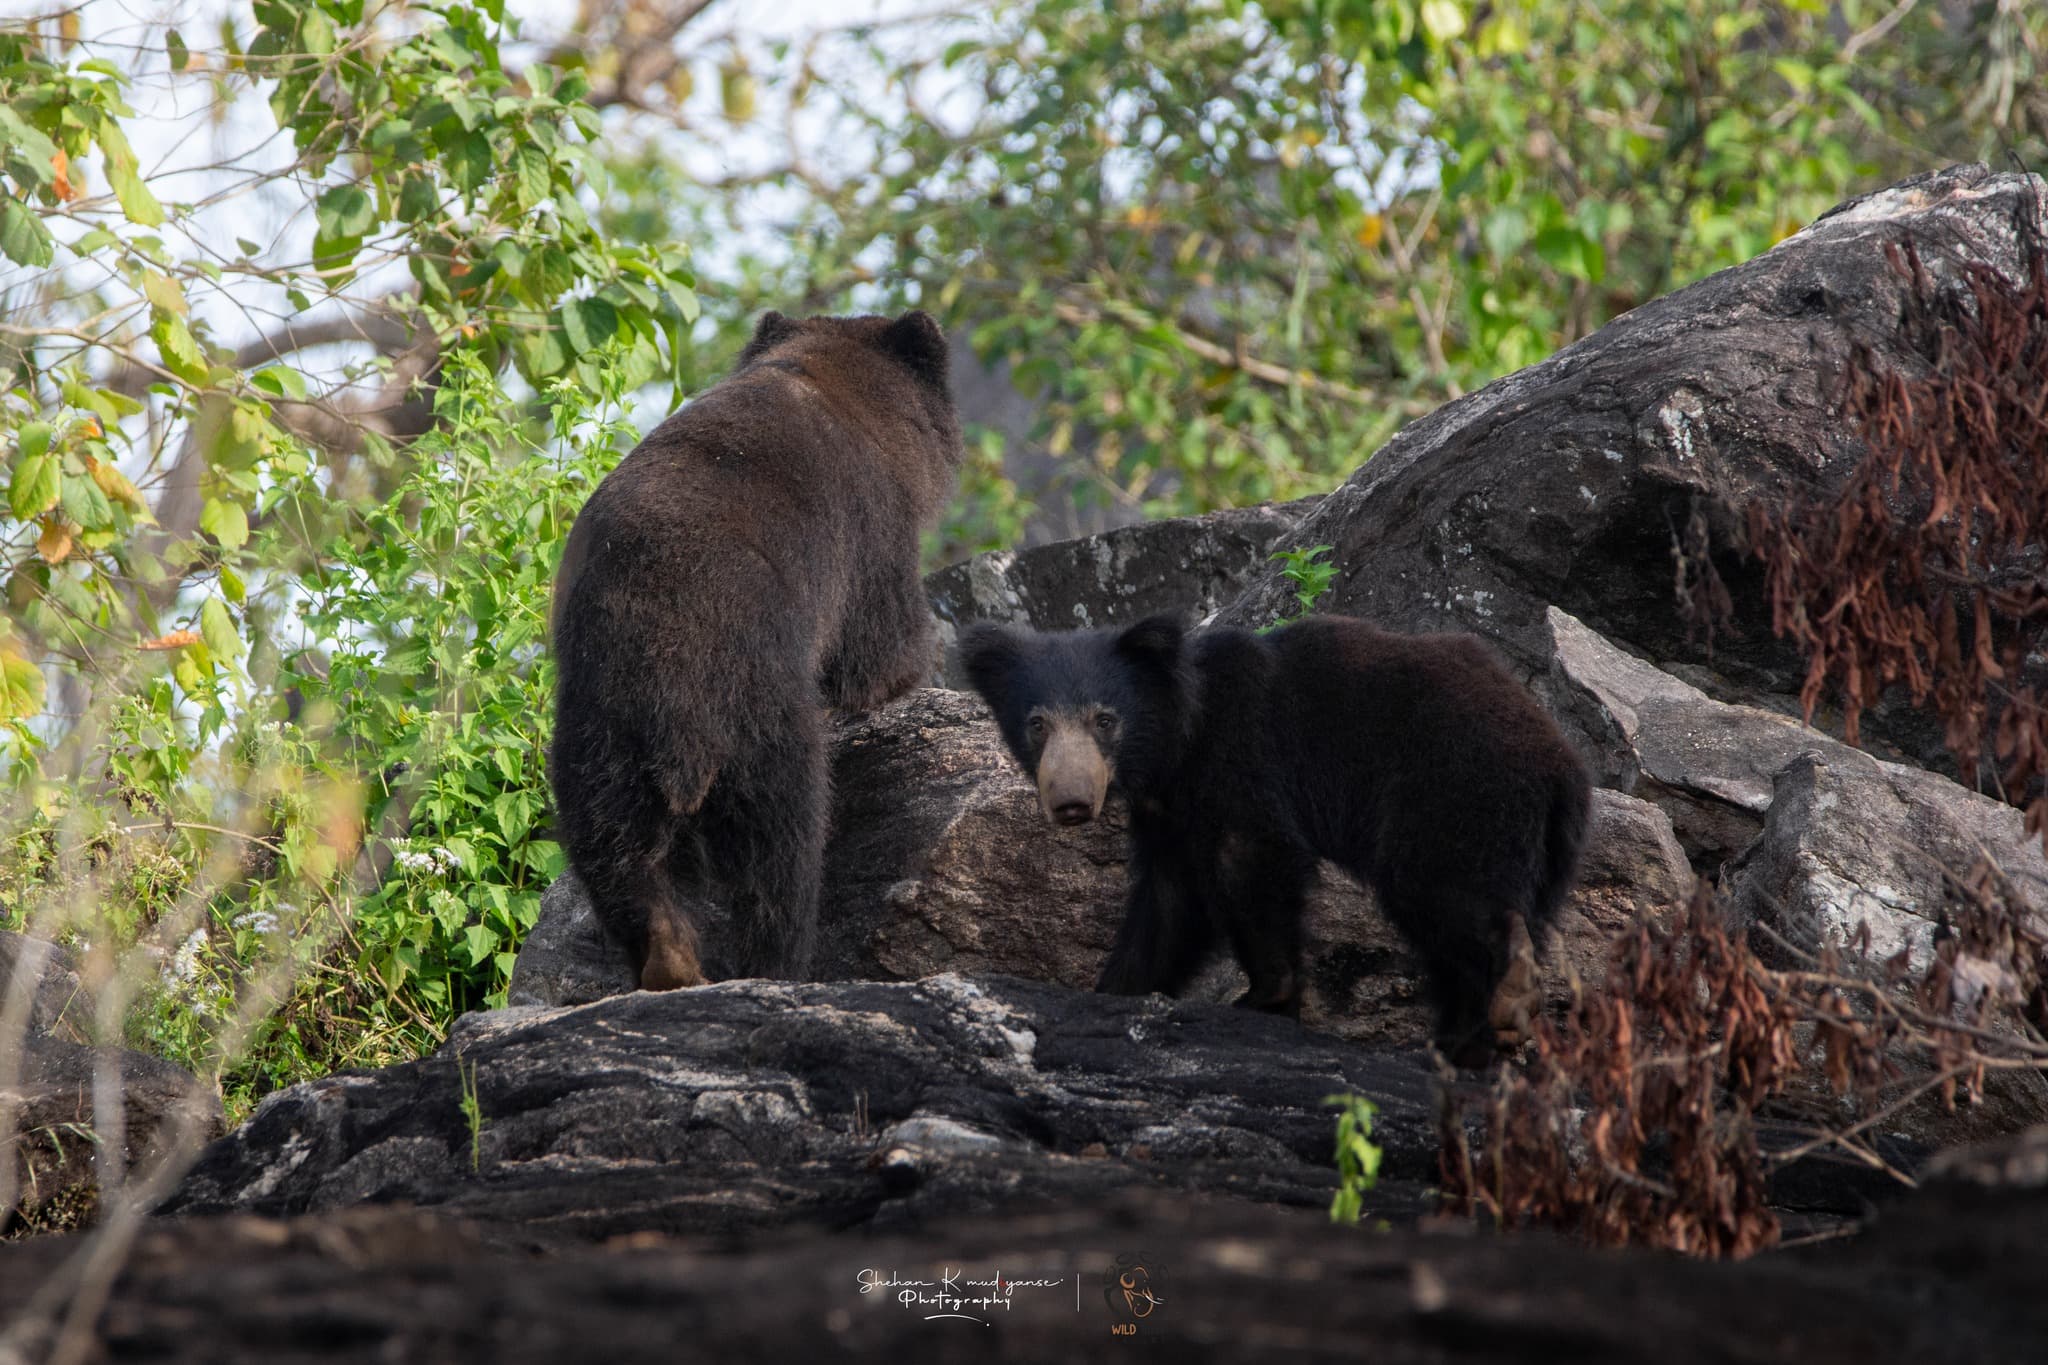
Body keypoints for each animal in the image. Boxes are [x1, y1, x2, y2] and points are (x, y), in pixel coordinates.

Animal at [549, 310, 962, 991]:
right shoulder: (867, 526)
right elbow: (879, 640)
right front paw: (915, 672)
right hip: (756, 704)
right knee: (783, 845)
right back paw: (780, 964)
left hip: (598, 731)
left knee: (611, 844)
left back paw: (668, 960)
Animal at [960, 612, 1592, 1064]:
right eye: (1036, 723)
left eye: (1105, 719)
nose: (1070, 801)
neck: (1175, 750)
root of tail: (1562, 765)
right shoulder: (1169, 817)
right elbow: (1169, 906)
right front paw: (1115, 992)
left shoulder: (1242, 758)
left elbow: (1253, 858)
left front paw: (1264, 996)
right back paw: (1460, 1039)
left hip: (1450, 792)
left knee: (1440, 890)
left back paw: (1503, 1000)